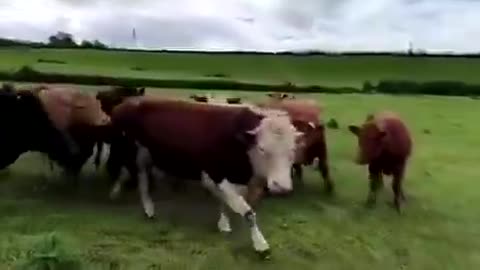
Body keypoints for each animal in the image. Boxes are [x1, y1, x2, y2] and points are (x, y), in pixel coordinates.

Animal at [106, 97, 304, 255]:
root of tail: (127, 102)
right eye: (262, 149)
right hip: (131, 150)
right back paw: (139, 204)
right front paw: (260, 244)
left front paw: (223, 224)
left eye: (293, 149)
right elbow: (248, 213)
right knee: (137, 175)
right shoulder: (217, 174)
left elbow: (225, 201)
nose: (281, 186)